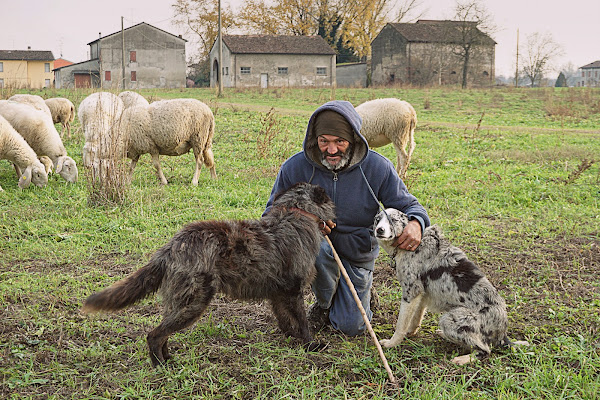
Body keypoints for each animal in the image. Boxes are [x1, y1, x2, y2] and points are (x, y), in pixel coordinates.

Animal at [82, 183, 338, 368]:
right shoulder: (293, 291)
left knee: (163, 333)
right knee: (154, 335)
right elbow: (302, 322)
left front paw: (291, 338)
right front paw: (310, 345)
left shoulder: (278, 294)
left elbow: (287, 321)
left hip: (179, 303)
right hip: (194, 303)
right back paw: (160, 366)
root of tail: (172, 247)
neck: (296, 213)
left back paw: (168, 358)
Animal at [372, 209, 528, 366]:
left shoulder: (411, 293)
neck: (414, 245)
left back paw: (462, 359)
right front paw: (411, 333)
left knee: (485, 350)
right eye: (377, 220)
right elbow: (415, 320)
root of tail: (503, 333)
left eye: (393, 220)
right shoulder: (422, 295)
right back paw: (444, 335)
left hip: (449, 320)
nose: (379, 230)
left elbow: (401, 326)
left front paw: (392, 343)